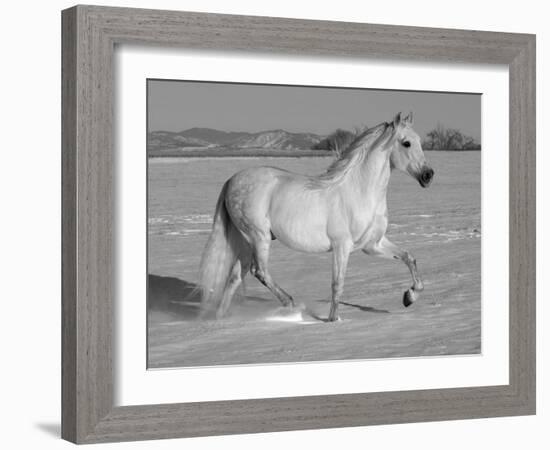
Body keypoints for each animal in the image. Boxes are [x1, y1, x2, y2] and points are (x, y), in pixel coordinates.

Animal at [198, 112, 436, 320]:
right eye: (406, 143)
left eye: (419, 141)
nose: (428, 175)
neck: (360, 191)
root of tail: (232, 180)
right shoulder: (342, 246)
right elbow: (337, 285)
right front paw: (333, 321)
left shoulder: (373, 245)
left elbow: (409, 257)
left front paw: (410, 297)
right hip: (258, 237)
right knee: (260, 272)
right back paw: (291, 304)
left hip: (246, 242)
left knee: (235, 277)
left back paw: (220, 321)